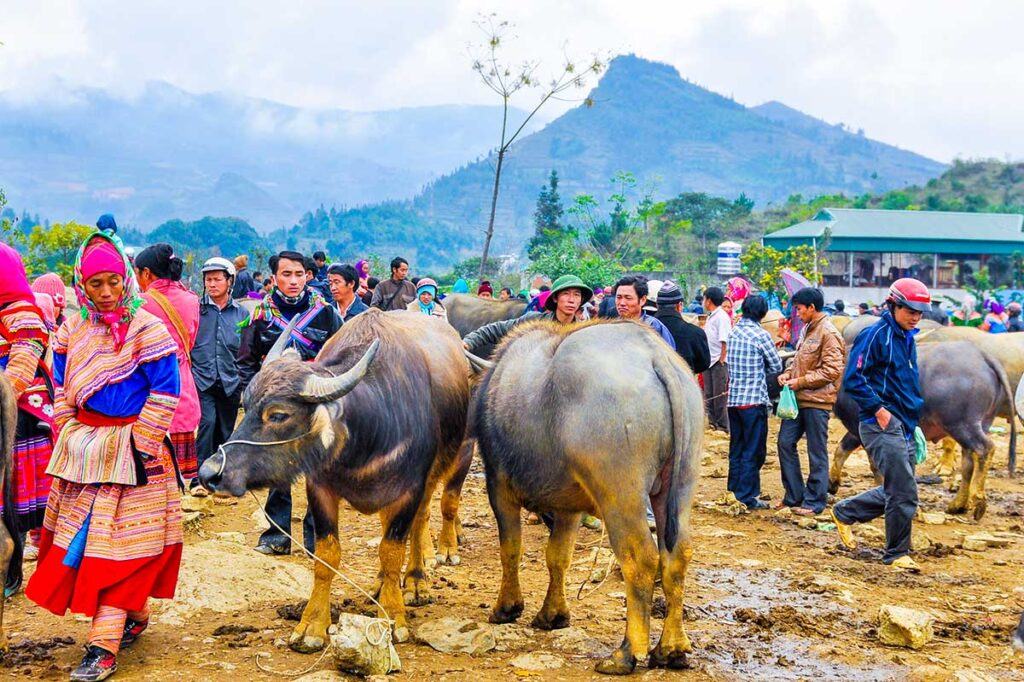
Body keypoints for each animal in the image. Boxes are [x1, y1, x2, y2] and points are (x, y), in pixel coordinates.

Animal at [197, 307, 468, 647]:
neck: (368, 437)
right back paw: (380, 582)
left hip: (441, 467)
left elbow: (392, 550)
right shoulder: (320, 487)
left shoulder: (410, 488)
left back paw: (416, 580)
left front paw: (394, 616)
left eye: (278, 415)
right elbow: (327, 555)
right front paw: (312, 625)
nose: (209, 473)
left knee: (421, 519)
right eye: (245, 405)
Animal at [471, 319, 704, 675]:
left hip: (620, 494)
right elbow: (558, 556)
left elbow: (510, 548)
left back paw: (625, 654)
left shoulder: (499, 487)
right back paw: (671, 650)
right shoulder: (568, 509)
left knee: (641, 559)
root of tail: (654, 355)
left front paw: (507, 608)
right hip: (680, 485)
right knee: (676, 556)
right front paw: (552, 615)